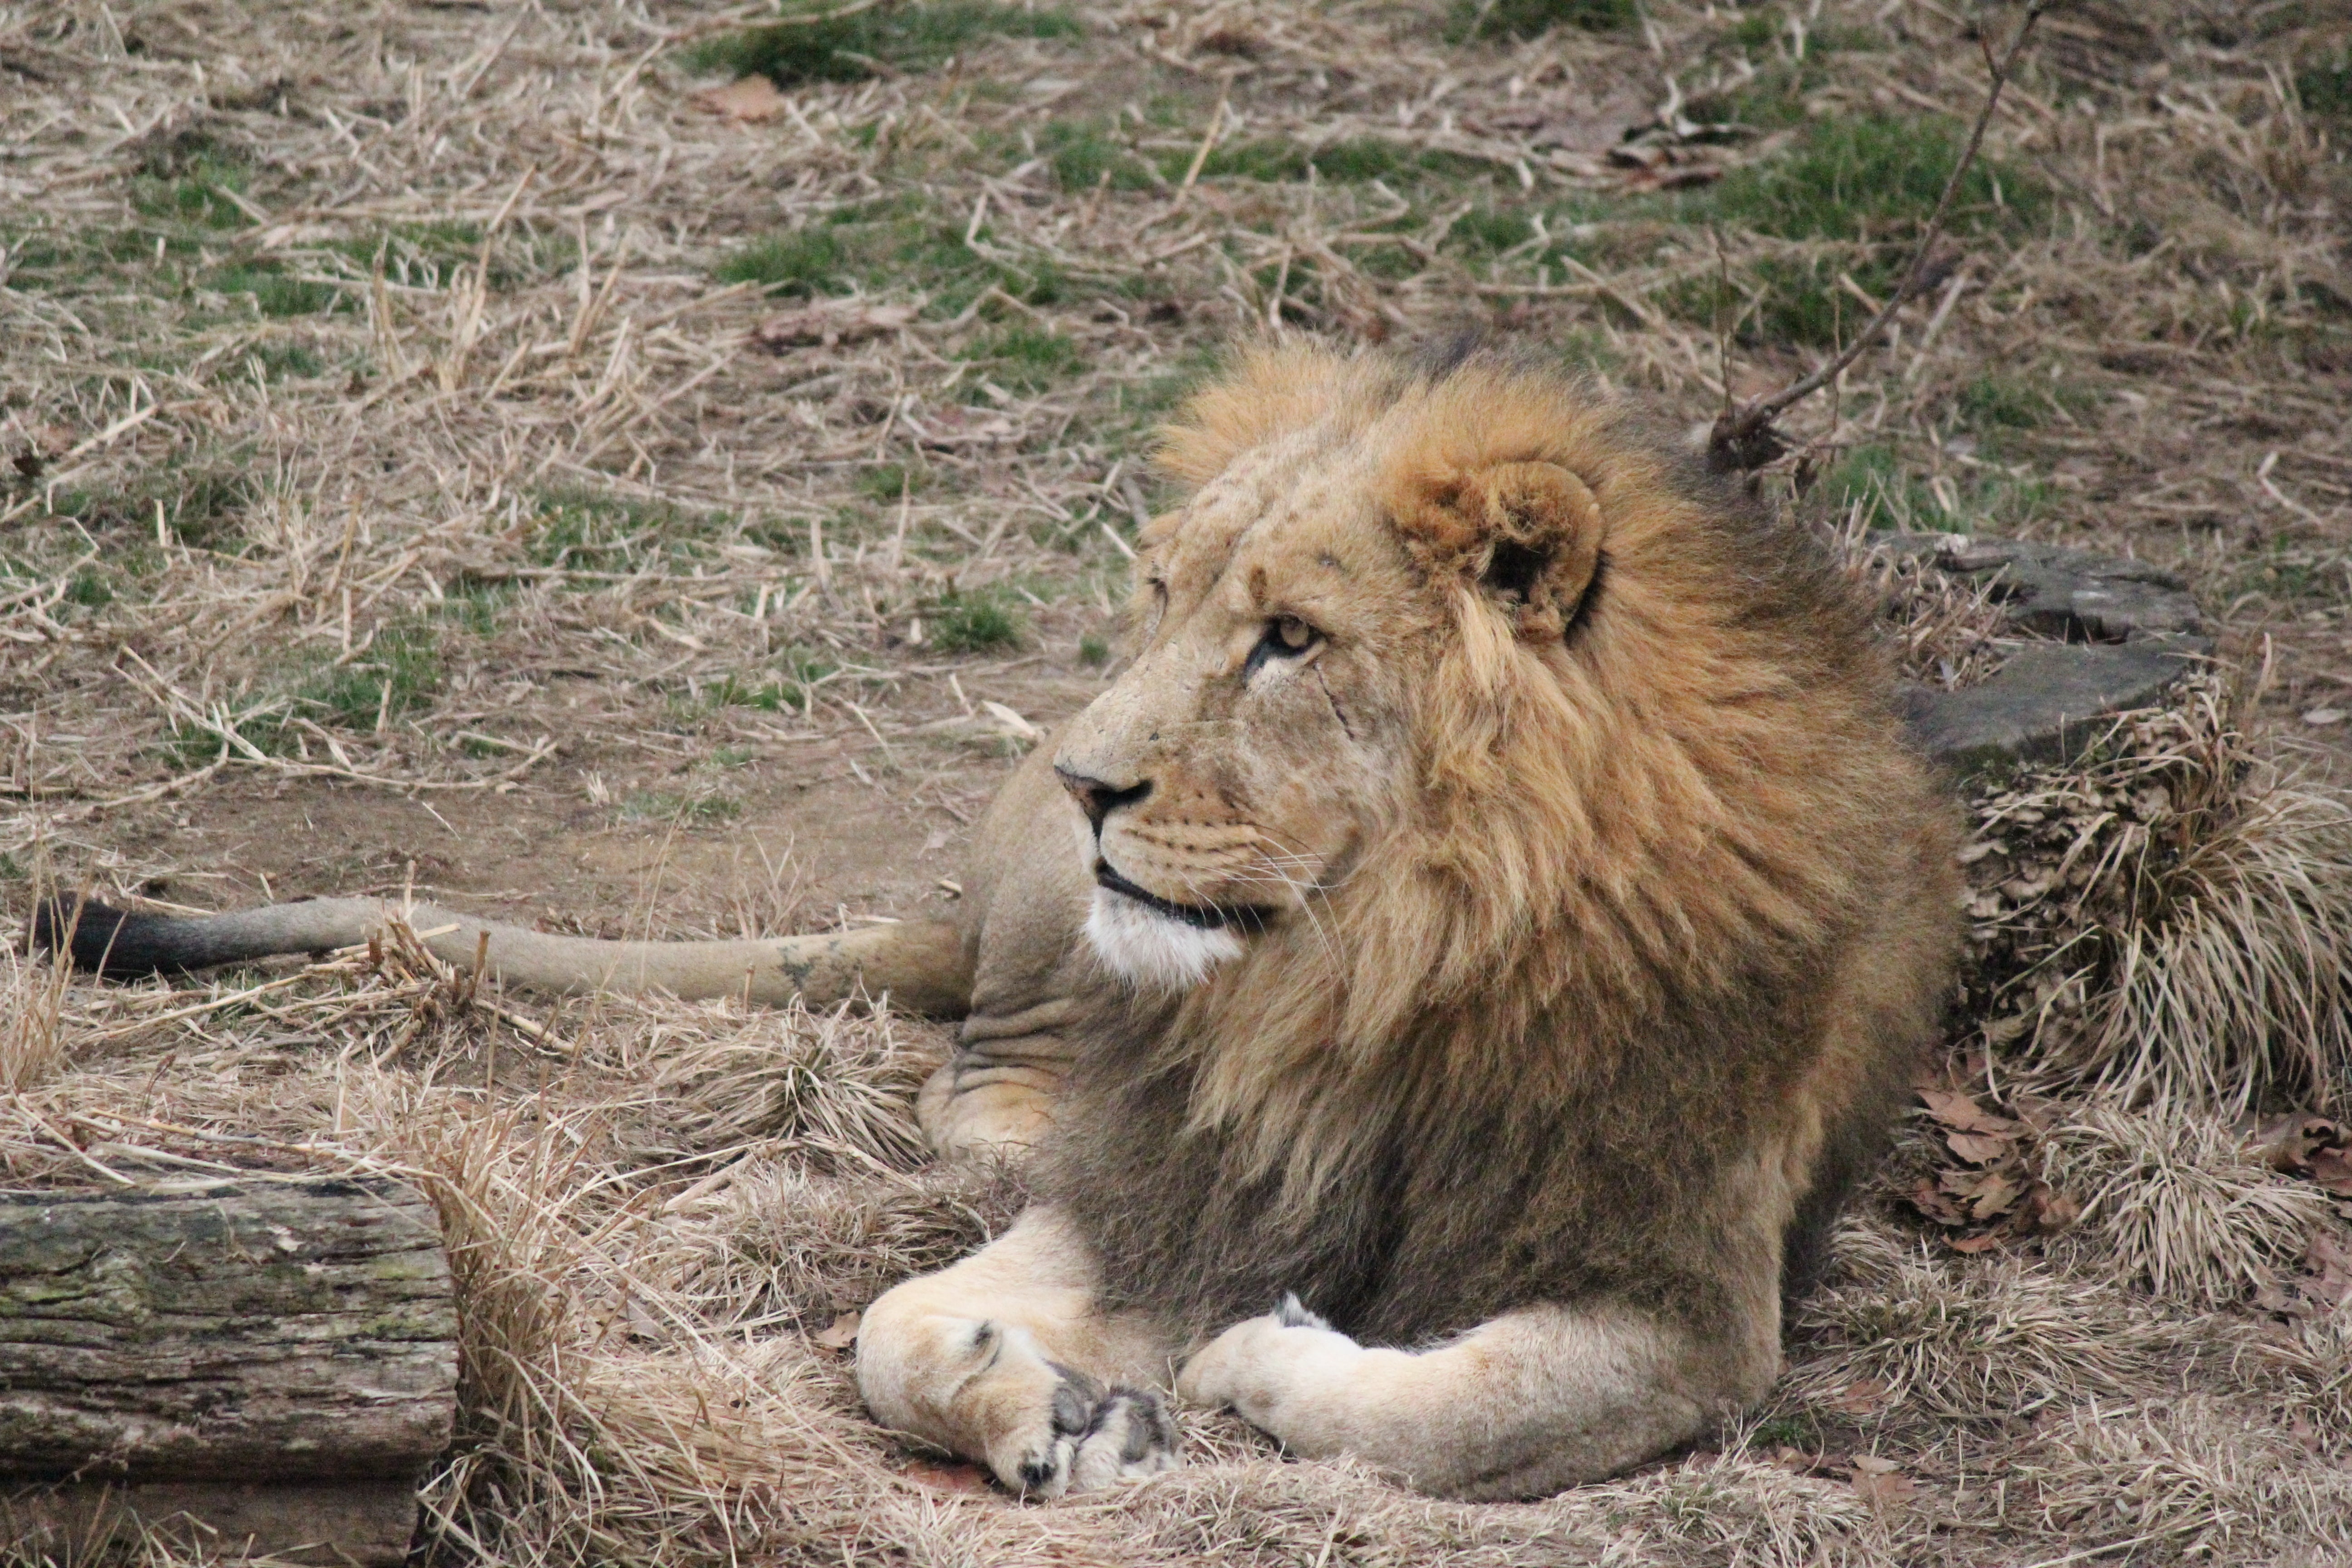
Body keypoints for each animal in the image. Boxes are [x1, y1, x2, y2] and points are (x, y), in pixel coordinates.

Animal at [37, 341, 1959, 1499]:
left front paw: (1264, 1355)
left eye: (1291, 638)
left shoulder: (1678, 1297)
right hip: (1040, 940)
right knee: (978, 1065)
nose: (1086, 777)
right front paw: (1044, 1408)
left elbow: (1464, 1404)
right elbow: (892, 1329)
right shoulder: (1177, 1181)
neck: (1368, 969)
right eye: (1165, 596)